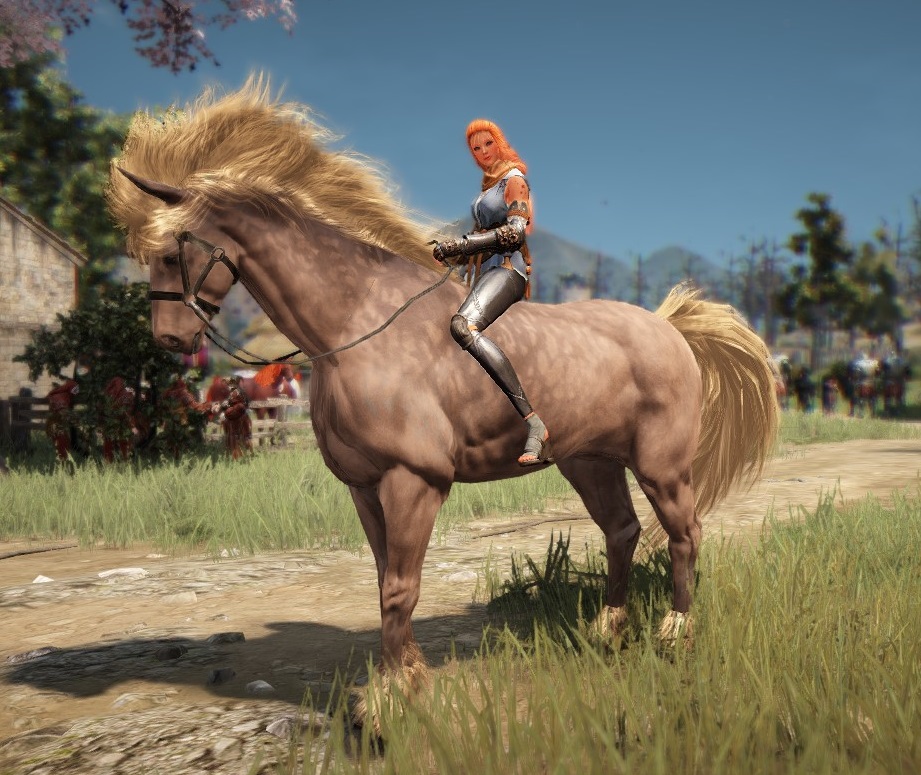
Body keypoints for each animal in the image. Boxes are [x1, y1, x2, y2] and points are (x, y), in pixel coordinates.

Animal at [106, 77, 779, 727]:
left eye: (171, 250)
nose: (170, 340)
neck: (355, 323)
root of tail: (667, 327)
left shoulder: (414, 481)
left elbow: (401, 589)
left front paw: (387, 702)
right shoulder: (364, 486)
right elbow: (385, 581)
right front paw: (403, 680)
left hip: (662, 466)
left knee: (684, 534)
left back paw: (675, 633)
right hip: (590, 462)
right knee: (623, 530)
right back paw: (607, 632)